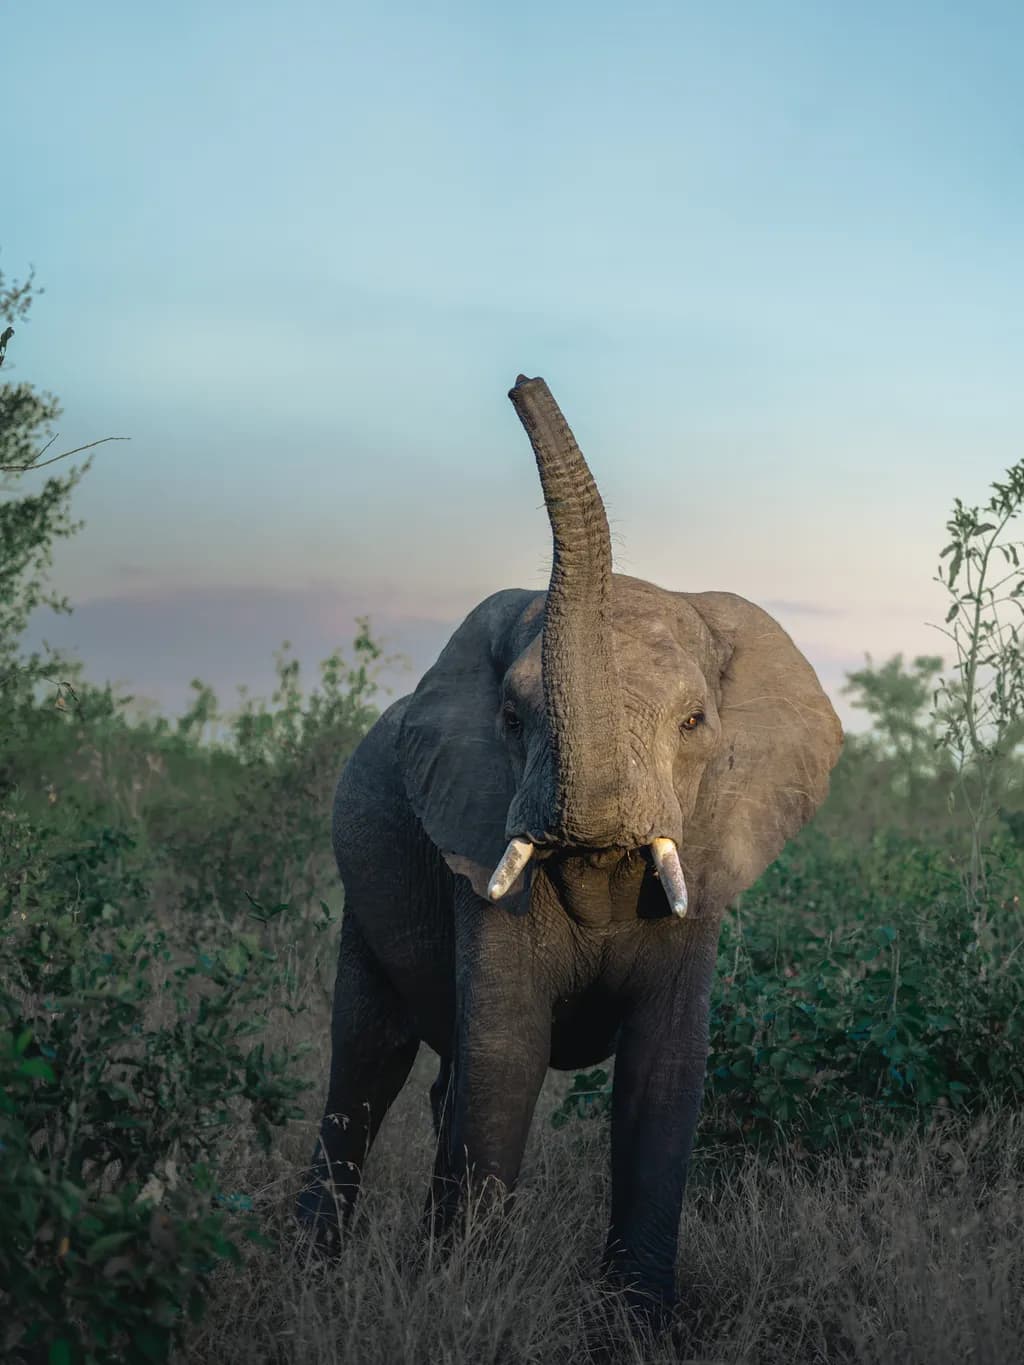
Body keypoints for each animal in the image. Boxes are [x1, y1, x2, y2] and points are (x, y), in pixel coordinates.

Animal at [296, 375, 843, 1313]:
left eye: (694, 723)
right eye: (514, 719)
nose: (523, 383)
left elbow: (665, 1069)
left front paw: (636, 1322)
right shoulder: (476, 854)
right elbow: (507, 1055)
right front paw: (469, 1301)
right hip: (366, 894)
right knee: (364, 1067)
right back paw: (310, 1275)